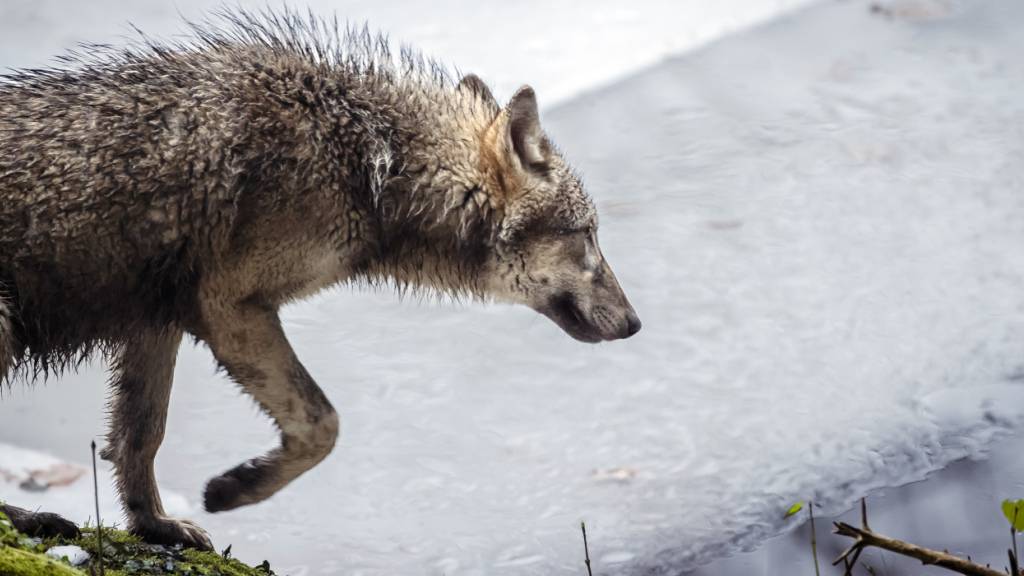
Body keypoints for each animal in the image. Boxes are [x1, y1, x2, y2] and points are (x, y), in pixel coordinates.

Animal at [0, 8, 638, 545]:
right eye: (587, 235)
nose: (635, 324)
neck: (370, 162)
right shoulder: (228, 307)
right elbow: (322, 424)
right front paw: (236, 488)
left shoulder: (159, 320)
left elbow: (138, 438)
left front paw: (154, 526)